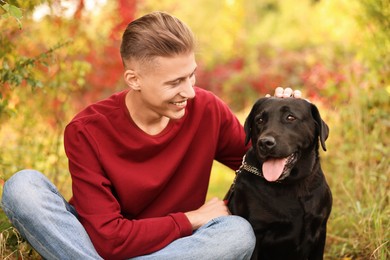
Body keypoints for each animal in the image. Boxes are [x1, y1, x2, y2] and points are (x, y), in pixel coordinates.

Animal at [227, 97, 334, 260]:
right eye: (259, 120)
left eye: (290, 117)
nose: (265, 143)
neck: (293, 184)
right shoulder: (256, 234)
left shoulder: (320, 229)